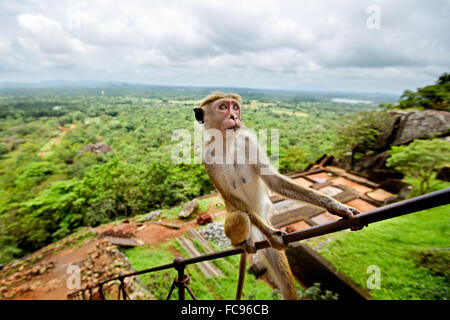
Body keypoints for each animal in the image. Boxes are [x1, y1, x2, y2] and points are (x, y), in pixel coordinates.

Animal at [193, 92, 358, 300]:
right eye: (223, 107)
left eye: (235, 107)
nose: (234, 116)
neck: (227, 142)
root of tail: (256, 237)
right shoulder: (207, 154)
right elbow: (232, 198)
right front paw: (272, 234)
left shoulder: (249, 140)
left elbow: (274, 181)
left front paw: (336, 206)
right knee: (240, 216)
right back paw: (241, 242)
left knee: (287, 287)